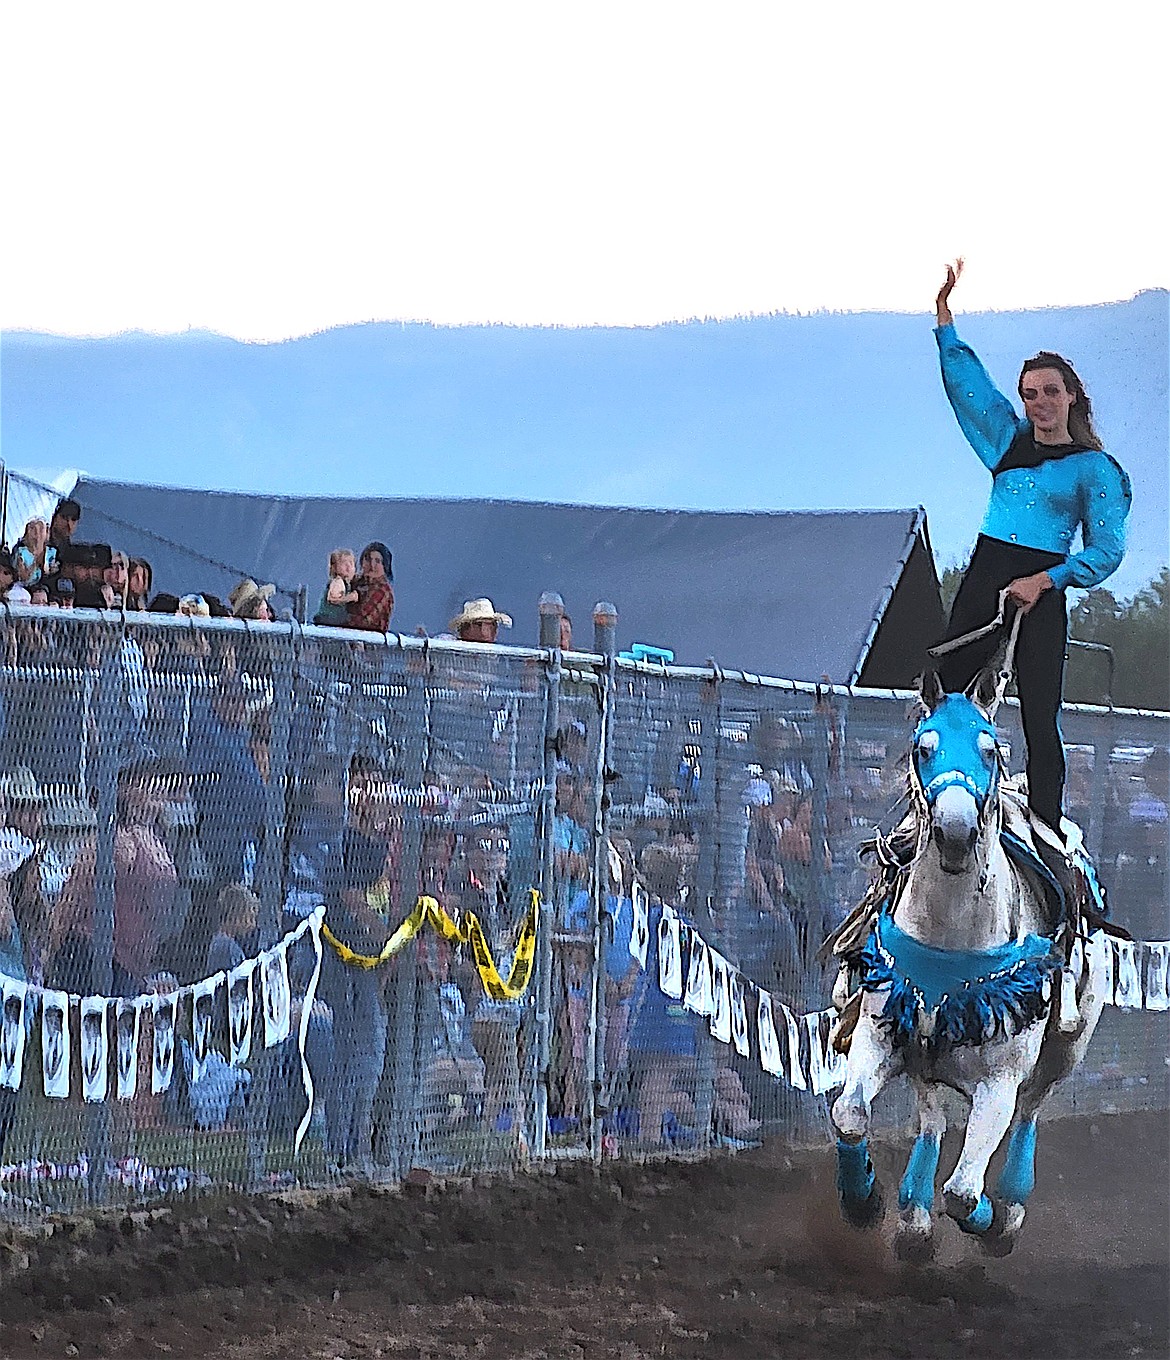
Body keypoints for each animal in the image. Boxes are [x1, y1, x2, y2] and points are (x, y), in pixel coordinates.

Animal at [832, 663, 1104, 1256]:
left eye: (990, 748)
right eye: (923, 747)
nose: (955, 832)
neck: (952, 935)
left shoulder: (1000, 1078)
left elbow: (960, 1191)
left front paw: (985, 1216)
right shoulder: (881, 1031)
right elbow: (849, 1114)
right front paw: (864, 1200)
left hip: (1067, 1047)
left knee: (1029, 1111)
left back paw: (1006, 1211)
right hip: (926, 1064)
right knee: (932, 1120)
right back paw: (912, 1216)